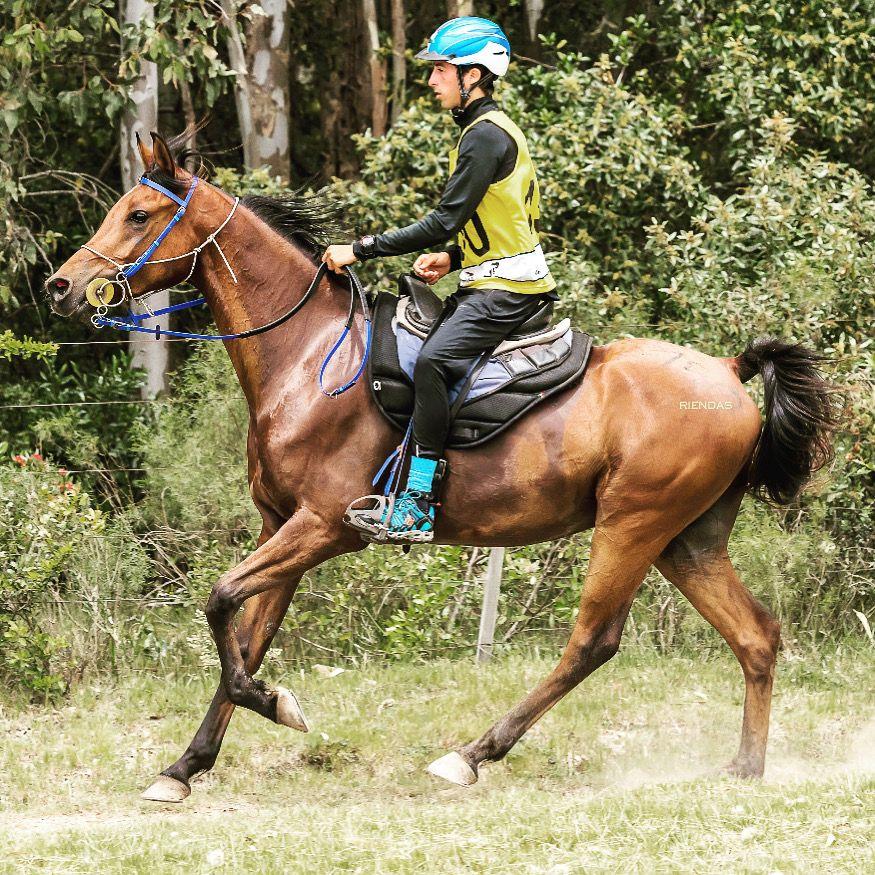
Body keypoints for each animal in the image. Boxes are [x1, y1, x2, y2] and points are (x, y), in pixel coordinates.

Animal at [44, 132, 840, 800]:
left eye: (139, 214)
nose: (60, 286)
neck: (305, 356)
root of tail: (729, 372)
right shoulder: (283, 527)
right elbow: (245, 636)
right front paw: (185, 766)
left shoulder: (324, 526)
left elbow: (218, 602)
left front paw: (276, 705)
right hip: (687, 540)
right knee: (755, 635)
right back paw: (745, 765)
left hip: (632, 524)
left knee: (592, 642)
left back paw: (472, 753)